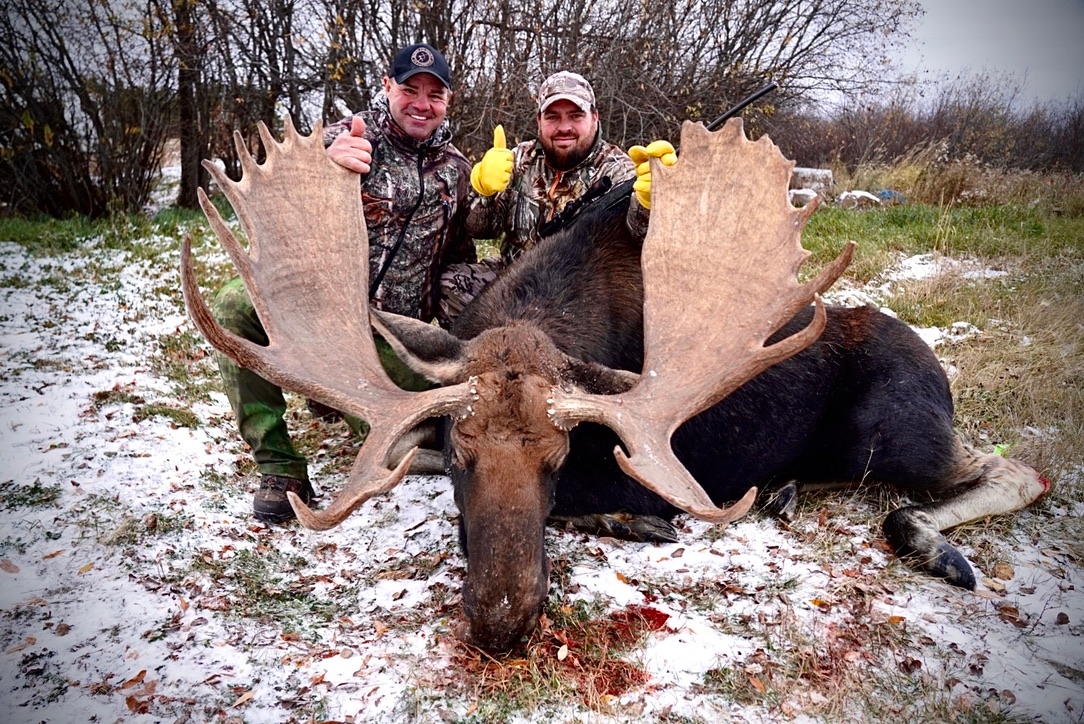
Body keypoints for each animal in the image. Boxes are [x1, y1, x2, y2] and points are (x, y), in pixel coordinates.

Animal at [181, 117, 1049, 652]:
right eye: (463, 453)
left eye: (559, 456)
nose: (501, 621)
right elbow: (406, 455)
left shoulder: (644, 462)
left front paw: (636, 521)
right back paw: (786, 491)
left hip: (892, 433)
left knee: (1012, 471)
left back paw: (937, 545)